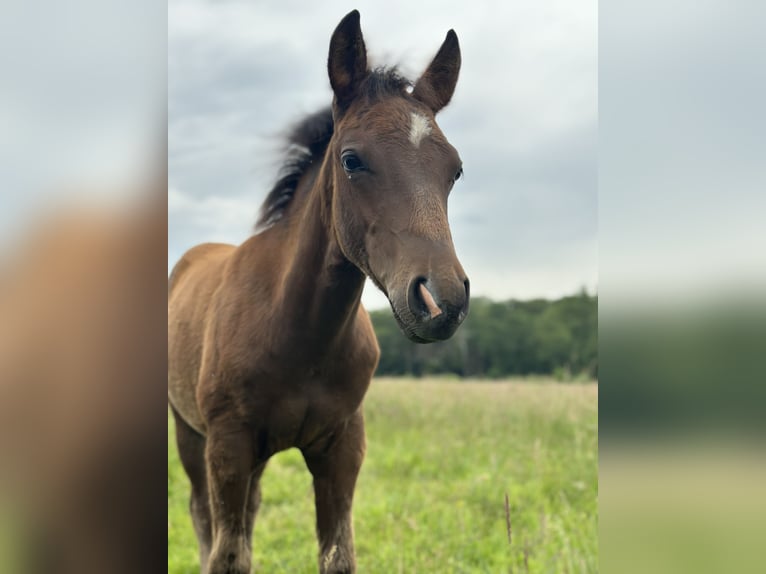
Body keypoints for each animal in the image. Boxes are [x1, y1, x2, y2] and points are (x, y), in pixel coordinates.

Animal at [168, 10, 468, 574]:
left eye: (455, 169)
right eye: (351, 160)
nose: (442, 301)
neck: (297, 333)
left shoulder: (343, 445)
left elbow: (337, 554)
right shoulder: (227, 446)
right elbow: (227, 553)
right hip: (189, 432)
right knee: (202, 517)